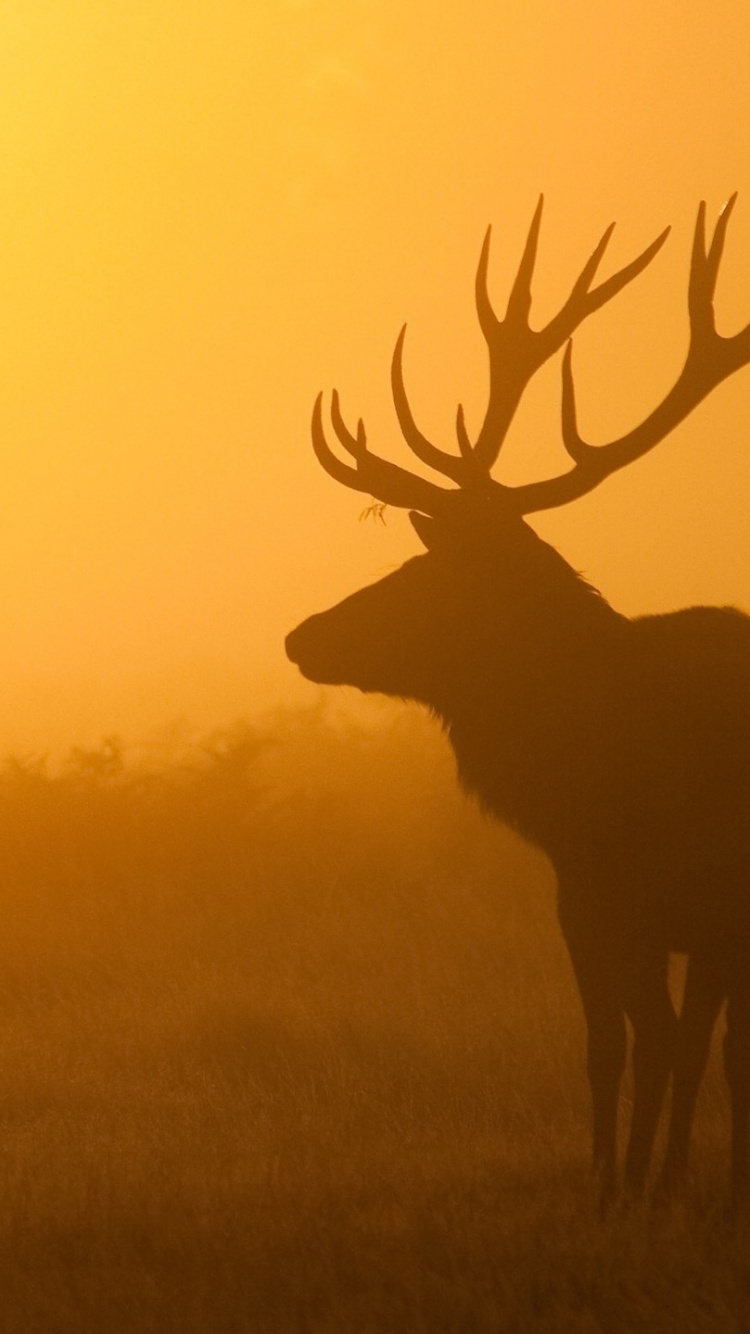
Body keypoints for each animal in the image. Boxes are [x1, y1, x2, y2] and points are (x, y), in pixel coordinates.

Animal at [285, 196, 750, 1211]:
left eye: (427, 573)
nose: (301, 636)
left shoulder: (641, 896)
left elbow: (656, 1043)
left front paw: (632, 1194)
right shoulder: (623, 904)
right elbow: (643, 1045)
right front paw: (642, 1183)